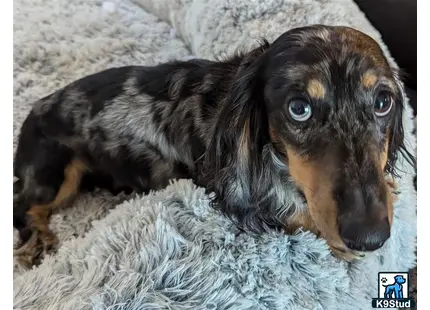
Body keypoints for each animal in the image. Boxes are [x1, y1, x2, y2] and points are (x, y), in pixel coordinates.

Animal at [14, 24, 416, 266]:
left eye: (383, 102)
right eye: (298, 108)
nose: (369, 236)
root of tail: (38, 106)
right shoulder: (235, 200)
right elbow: (297, 216)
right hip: (56, 175)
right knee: (25, 206)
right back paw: (39, 244)